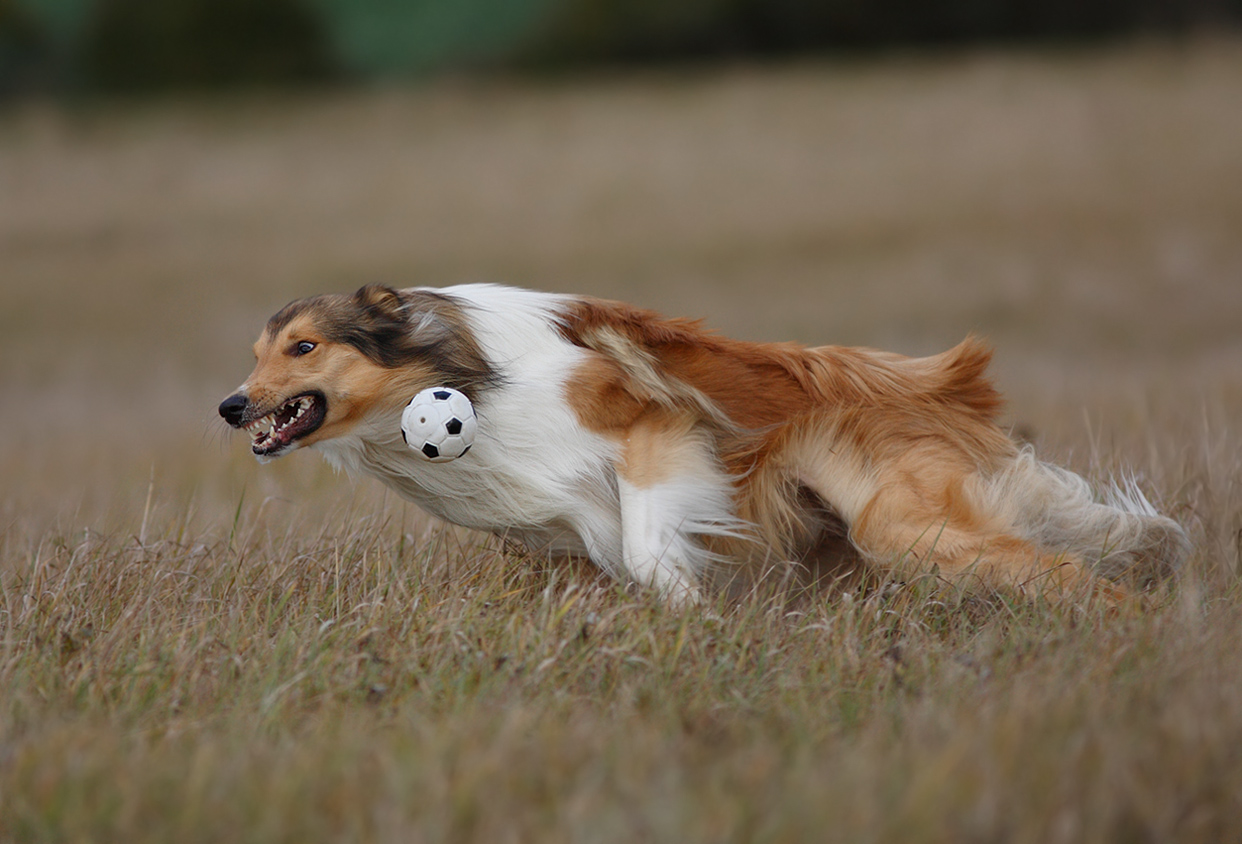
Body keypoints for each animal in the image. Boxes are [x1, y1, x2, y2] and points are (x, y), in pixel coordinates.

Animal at [218, 286, 1187, 603]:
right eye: (256, 350)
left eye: (304, 347)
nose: (231, 405)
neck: (465, 377)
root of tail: (932, 379)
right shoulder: (553, 528)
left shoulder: (655, 435)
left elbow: (649, 547)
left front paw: (690, 611)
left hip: (900, 522)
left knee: (1062, 570)